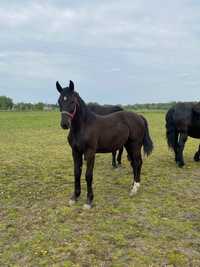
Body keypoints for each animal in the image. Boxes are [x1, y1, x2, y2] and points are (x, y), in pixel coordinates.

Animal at [56, 80, 153, 210]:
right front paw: (75, 197)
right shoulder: (75, 152)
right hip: (128, 145)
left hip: (135, 145)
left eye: (72, 101)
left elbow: (88, 175)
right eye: (59, 101)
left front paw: (89, 200)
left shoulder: (90, 152)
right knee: (134, 164)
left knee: (138, 162)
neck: (84, 126)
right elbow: (77, 173)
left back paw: (135, 188)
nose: (65, 124)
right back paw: (132, 185)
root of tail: (139, 116)